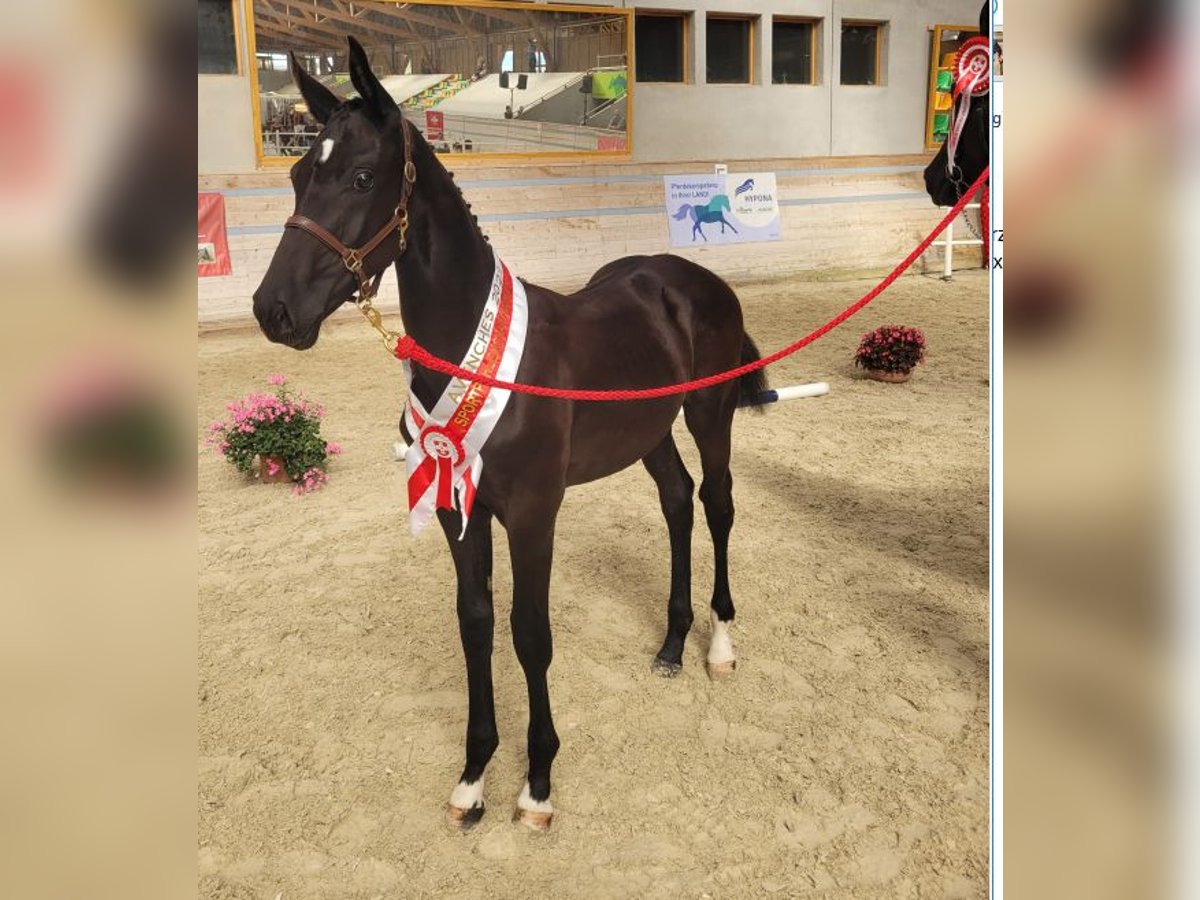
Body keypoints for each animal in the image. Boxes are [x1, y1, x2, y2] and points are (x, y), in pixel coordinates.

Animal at [253, 36, 768, 831]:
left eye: (362, 177)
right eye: (299, 173)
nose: (272, 310)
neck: (475, 353)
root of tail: (690, 278)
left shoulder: (531, 514)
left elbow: (530, 634)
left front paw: (538, 783)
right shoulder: (456, 508)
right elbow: (476, 623)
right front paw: (472, 778)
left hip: (708, 413)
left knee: (716, 503)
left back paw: (717, 644)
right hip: (647, 432)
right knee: (678, 501)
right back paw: (672, 644)